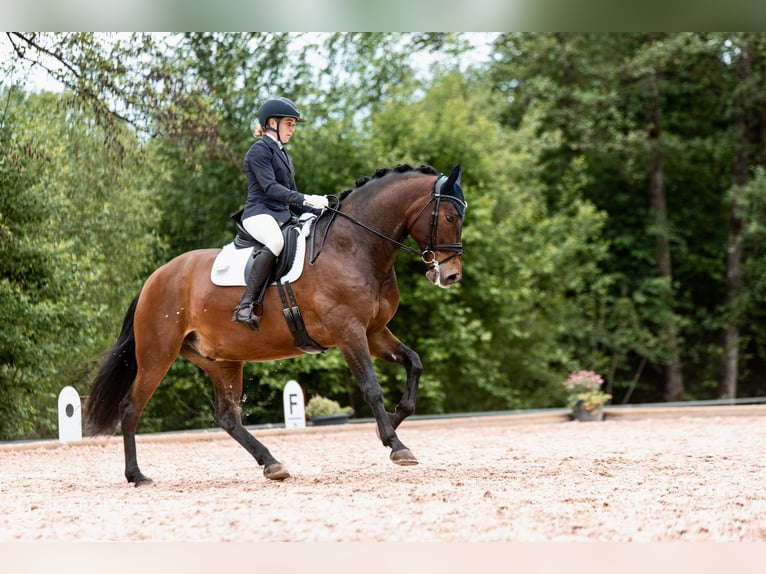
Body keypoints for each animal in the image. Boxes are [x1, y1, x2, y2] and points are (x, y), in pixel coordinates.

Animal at [84, 164, 468, 488]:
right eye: (450, 216)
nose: (451, 276)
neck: (355, 246)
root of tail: (155, 278)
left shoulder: (374, 332)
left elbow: (414, 363)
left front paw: (394, 421)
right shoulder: (349, 331)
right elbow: (371, 388)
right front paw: (395, 444)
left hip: (222, 361)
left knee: (227, 417)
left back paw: (272, 463)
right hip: (158, 354)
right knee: (131, 407)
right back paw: (136, 475)